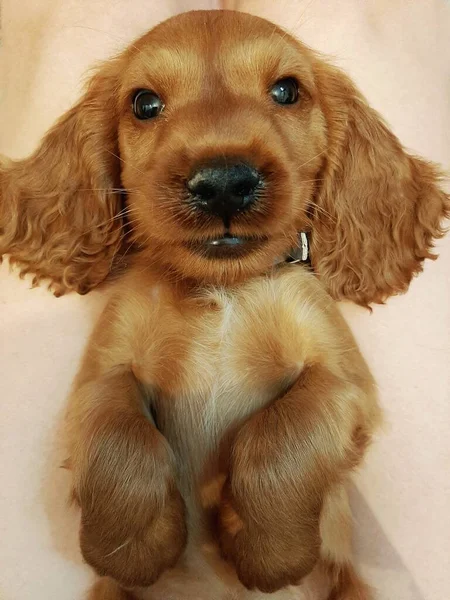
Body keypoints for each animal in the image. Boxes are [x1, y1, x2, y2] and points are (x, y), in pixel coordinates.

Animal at [0, 9, 448, 600]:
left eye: (287, 91)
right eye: (144, 103)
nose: (224, 184)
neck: (222, 290)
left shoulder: (346, 381)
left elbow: (282, 433)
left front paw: (264, 548)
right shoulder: (100, 374)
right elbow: (118, 440)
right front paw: (136, 549)